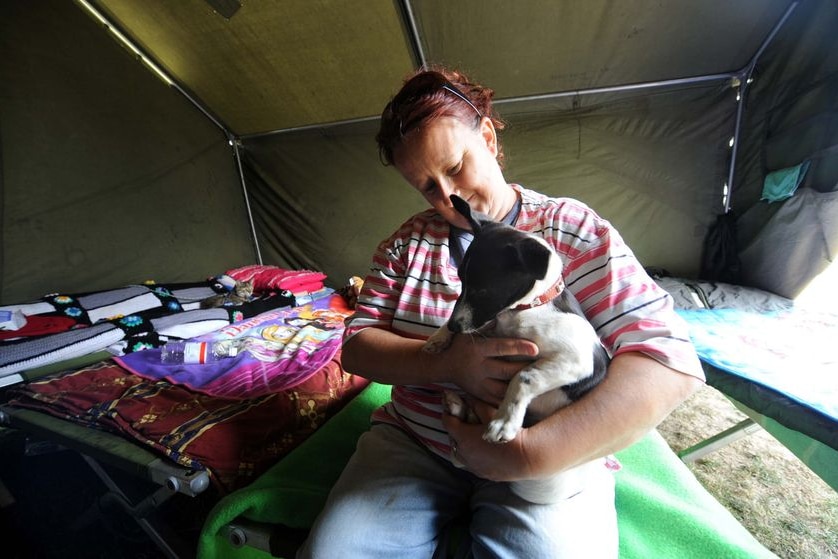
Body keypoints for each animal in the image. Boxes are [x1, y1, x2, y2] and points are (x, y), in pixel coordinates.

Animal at [426, 196, 612, 504]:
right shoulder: (489, 325)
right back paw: (458, 407)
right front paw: (439, 336)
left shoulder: (578, 361)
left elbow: (524, 376)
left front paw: (504, 422)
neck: (527, 308)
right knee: (461, 457)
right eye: (461, 281)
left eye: (483, 291)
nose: (454, 326)